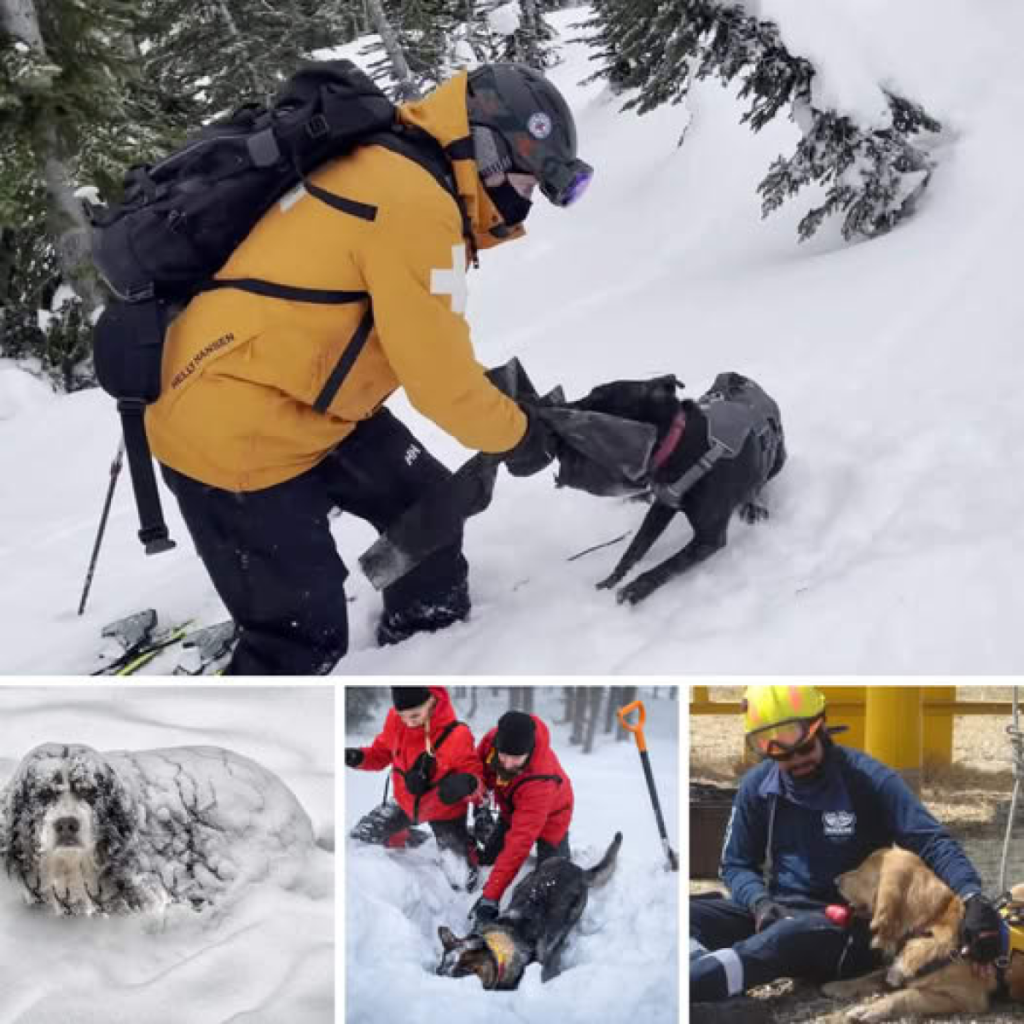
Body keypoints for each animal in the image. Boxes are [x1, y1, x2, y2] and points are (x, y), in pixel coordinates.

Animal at [557, 372, 786, 602]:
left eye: (598, 394)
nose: (559, 407)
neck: (677, 446)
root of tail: (738, 379)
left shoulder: (708, 538)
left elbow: (667, 567)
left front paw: (634, 590)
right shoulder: (662, 505)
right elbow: (636, 547)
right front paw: (611, 581)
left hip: (777, 460)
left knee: (759, 483)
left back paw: (753, 505)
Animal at [823, 843, 1024, 1019]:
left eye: (862, 871)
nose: (835, 880)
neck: (927, 925)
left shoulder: (965, 997)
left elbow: (904, 995)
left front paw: (870, 1009)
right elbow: (872, 975)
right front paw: (840, 986)